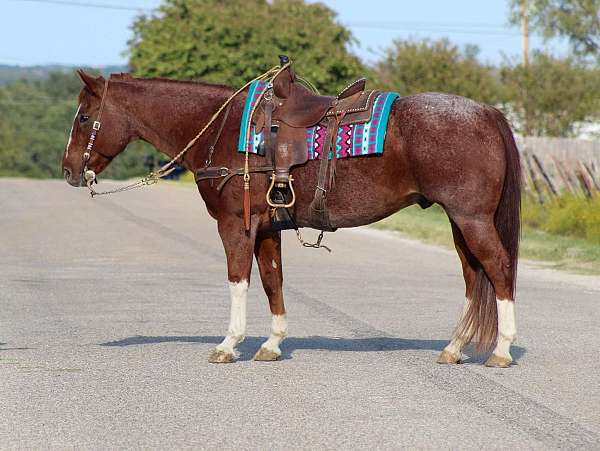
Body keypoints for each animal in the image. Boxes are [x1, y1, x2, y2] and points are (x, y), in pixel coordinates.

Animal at [62, 69, 520, 368]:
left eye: (83, 117)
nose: (68, 170)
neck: (224, 130)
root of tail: (487, 113)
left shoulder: (236, 225)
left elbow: (238, 280)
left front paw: (229, 344)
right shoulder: (267, 228)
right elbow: (272, 281)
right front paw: (272, 344)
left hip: (471, 218)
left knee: (498, 269)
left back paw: (501, 350)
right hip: (460, 222)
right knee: (473, 276)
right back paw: (454, 347)